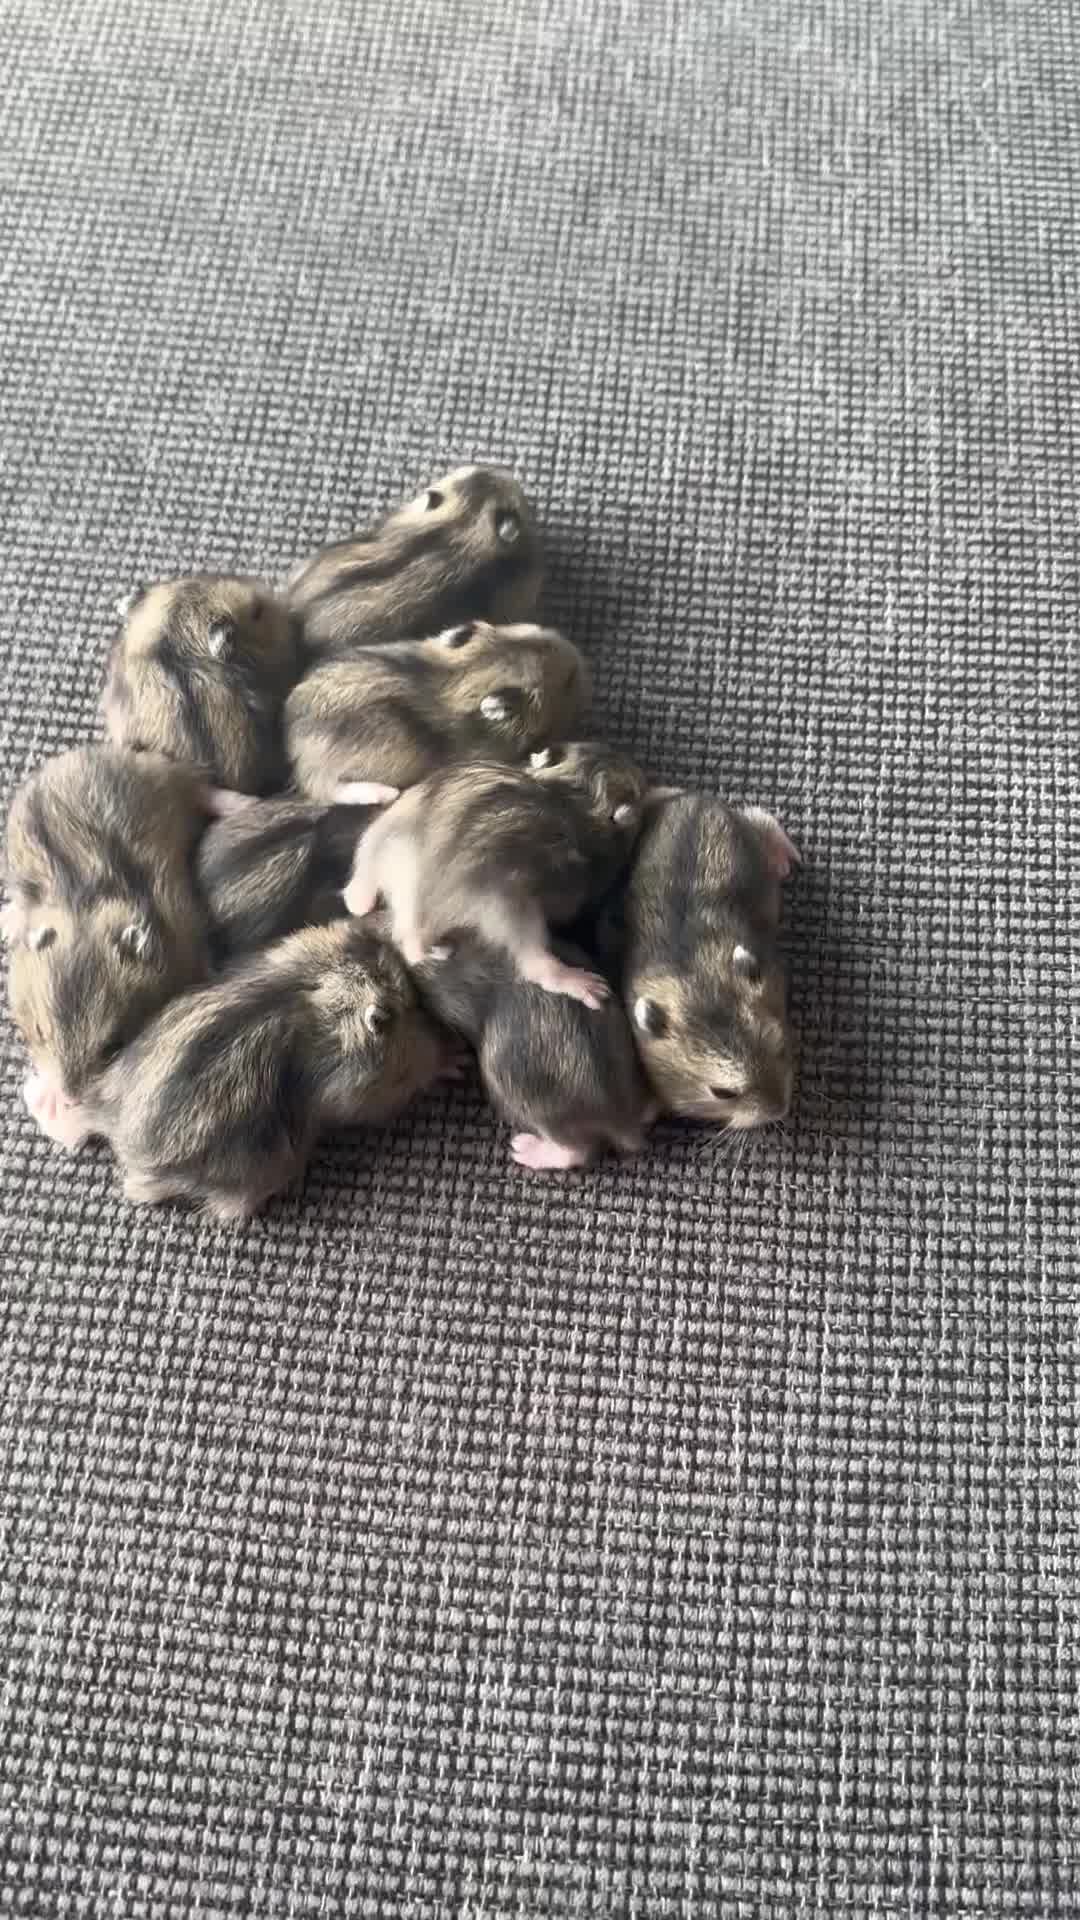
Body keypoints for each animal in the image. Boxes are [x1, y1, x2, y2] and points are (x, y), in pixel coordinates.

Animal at [5, 747, 218, 1104]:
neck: (87, 911)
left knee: (201, 789)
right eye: (39, 1031)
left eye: (112, 1048)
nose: (69, 1099)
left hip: (166, 781)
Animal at [25, 921, 453, 1219]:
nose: (441, 1039)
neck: (319, 990)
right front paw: (451, 1065)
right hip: (261, 1172)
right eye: (402, 1009)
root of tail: (114, 1124)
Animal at [285, 619, 588, 801]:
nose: (577, 653)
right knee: (330, 789)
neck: (469, 673)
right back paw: (387, 794)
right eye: (570, 679)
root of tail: (297, 756)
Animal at [344, 741, 647, 1008]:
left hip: (387, 832)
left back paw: (361, 901)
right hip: (506, 904)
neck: (576, 790)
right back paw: (577, 981)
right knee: (532, 960)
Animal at [604, 791, 799, 1128]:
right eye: (722, 1093)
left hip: (749, 829)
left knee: (762, 819)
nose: (780, 1110)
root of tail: (692, 798)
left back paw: (785, 858)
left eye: (781, 1047)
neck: (699, 984)